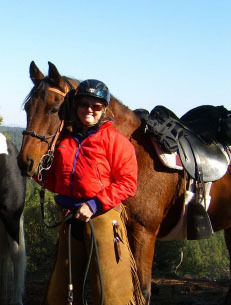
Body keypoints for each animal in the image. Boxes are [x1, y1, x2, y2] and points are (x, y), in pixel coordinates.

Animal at [17, 60, 231, 302]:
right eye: (28, 108)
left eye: (54, 109)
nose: (25, 162)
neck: (136, 154)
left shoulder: (145, 232)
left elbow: (143, 291)